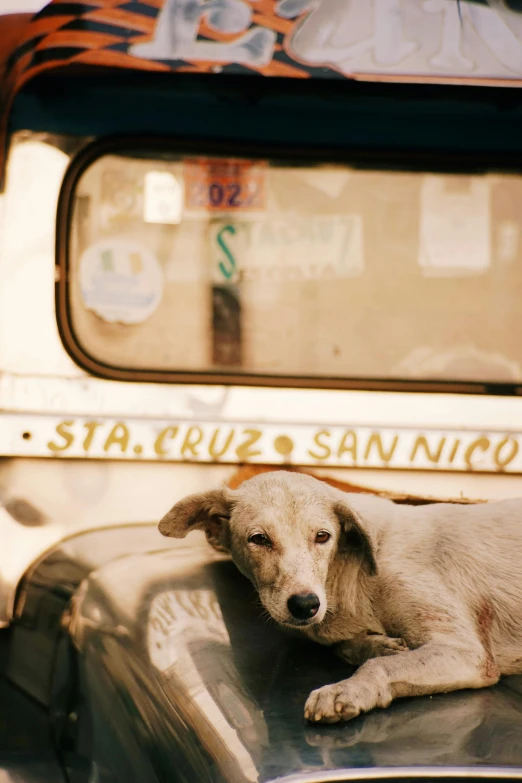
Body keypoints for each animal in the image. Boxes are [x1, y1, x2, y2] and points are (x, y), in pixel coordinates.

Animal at [157, 468, 520, 724]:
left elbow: (379, 666)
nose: (305, 605)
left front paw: (347, 689)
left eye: (322, 536)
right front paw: (377, 645)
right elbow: (348, 647)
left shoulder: (467, 652)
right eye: (259, 539)